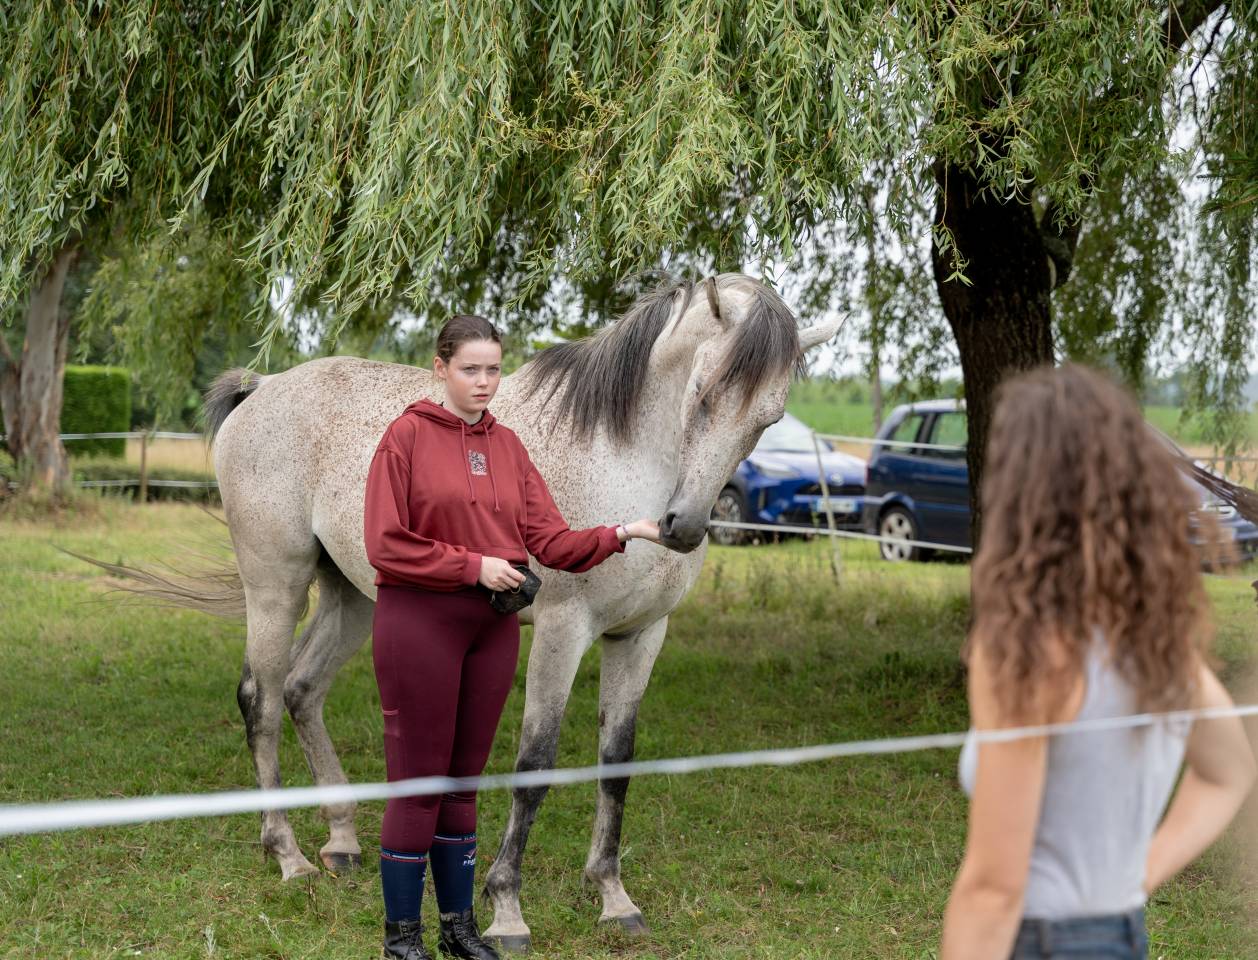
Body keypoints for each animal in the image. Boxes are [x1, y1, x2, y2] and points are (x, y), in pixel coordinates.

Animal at [106, 274, 839, 951]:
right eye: (703, 393)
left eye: (768, 417)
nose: (681, 528)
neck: (621, 457)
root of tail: (263, 389)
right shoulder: (564, 631)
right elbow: (535, 764)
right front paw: (507, 907)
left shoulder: (639, 636)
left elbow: (617, 761)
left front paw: (612, 897)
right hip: (276, 587)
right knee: (259, 701)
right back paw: (287, 856)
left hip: (351, 598)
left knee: (301, 690)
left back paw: (341, 840)